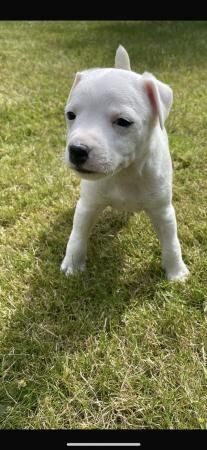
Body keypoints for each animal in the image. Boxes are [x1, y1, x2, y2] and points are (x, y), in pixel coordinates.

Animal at [60, 44, 189, 280]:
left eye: (123, 122)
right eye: (70, 115)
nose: (77, 150)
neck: (124, 173)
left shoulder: (163, 211)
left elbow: (171, 242)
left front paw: (176, 272)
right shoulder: (88, 205)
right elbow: (77, 235)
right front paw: (72, 264)